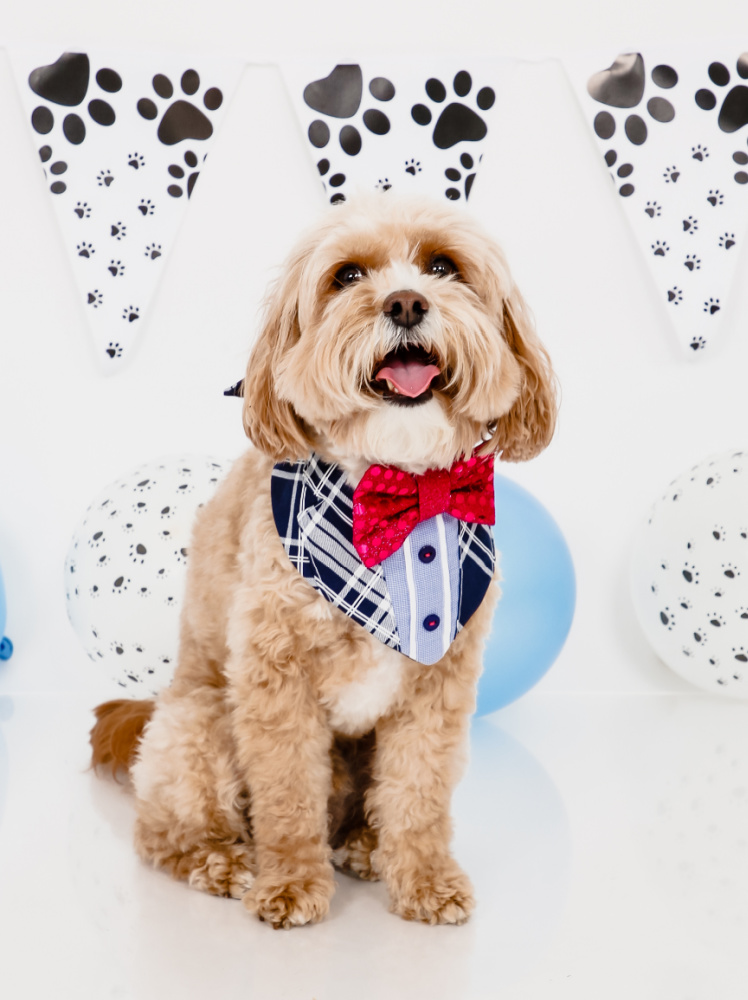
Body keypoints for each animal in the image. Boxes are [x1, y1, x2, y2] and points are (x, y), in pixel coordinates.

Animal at [89, 195, 556, 928]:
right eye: (346, 276)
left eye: (444, 266)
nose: (404, 303)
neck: (395, 493)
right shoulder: (276, 682)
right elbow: (286, 796)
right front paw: (288, 883)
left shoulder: (439, 685)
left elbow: (418, 792)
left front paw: (424, 878)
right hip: (199, 722)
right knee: (161, 831)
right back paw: (220, 860)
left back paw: (367, 845)